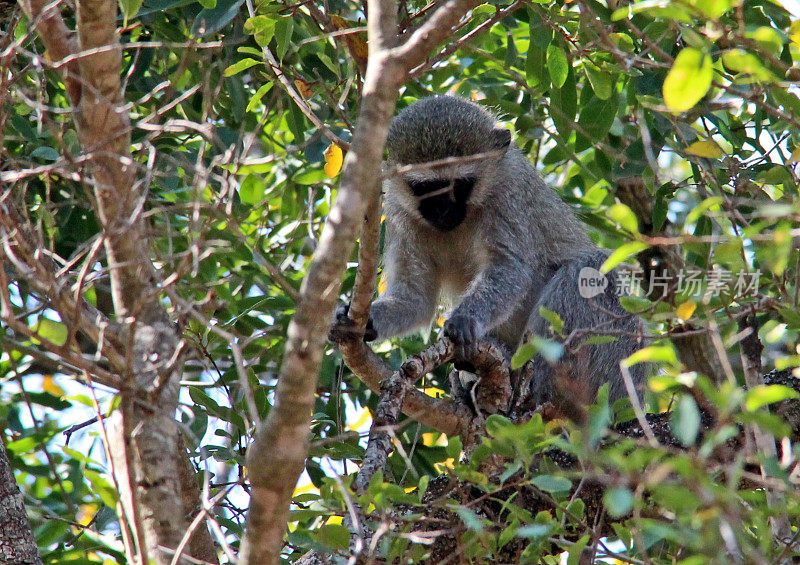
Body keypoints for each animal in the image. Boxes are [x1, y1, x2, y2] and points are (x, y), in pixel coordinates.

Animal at [330, 96, 644, 406]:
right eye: (426, 188)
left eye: (461, 184)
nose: (444, 211)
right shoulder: (400, 215)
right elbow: (414, 298)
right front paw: (361, 319)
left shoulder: (509, 194)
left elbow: (510, 268)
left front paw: (465, 319)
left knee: (585, 270)